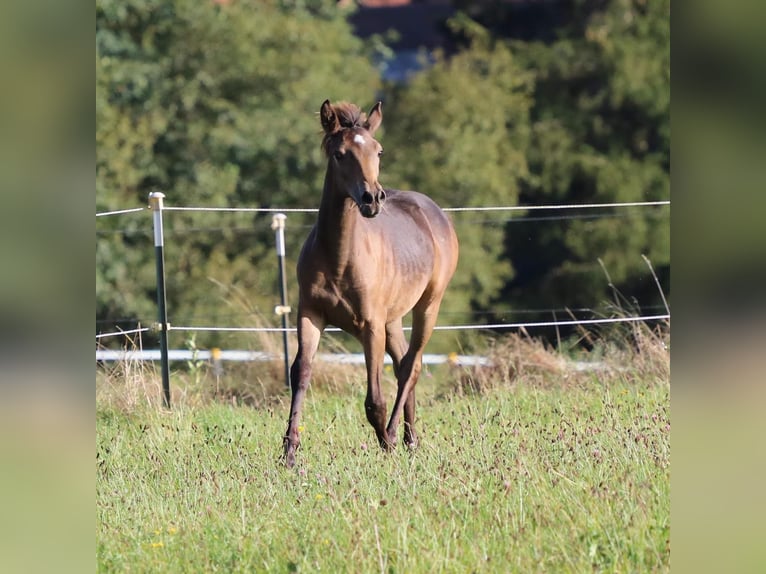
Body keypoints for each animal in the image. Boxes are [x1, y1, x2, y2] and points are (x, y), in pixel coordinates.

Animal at [284, 99, 460, 468]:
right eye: (340, 154)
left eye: (378, 151)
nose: (372, 199)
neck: (338, 258)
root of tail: (434, 211)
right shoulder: (310, 315)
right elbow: (301, 372)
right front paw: (289, 452)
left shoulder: (370, 325)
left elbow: (374, 398)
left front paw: (385, 444)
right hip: (393, 319)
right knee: (405, 362)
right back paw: (410, 440)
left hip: (428, 306)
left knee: (411, 367)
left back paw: (395, 436)